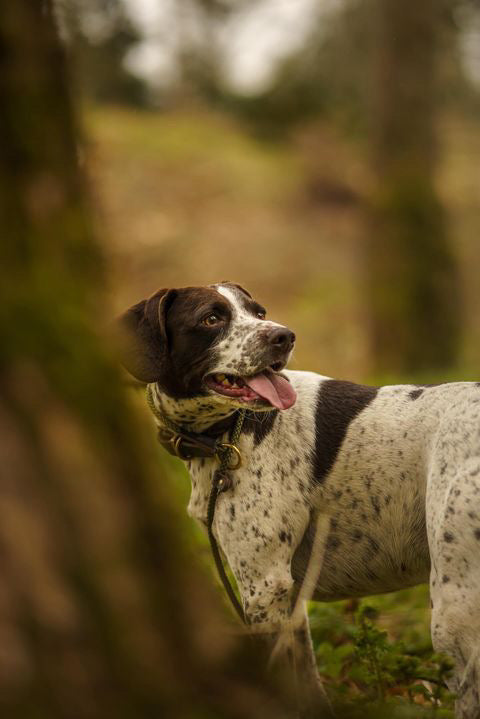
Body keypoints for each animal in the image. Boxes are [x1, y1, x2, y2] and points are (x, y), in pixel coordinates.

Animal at [119, 282, 480, 719]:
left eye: (258, 313)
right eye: (211, 318)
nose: (284, 336)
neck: (228, 434)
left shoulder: (263, 586)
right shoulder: (290, 598)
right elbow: (307, 683)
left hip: (454, 609)